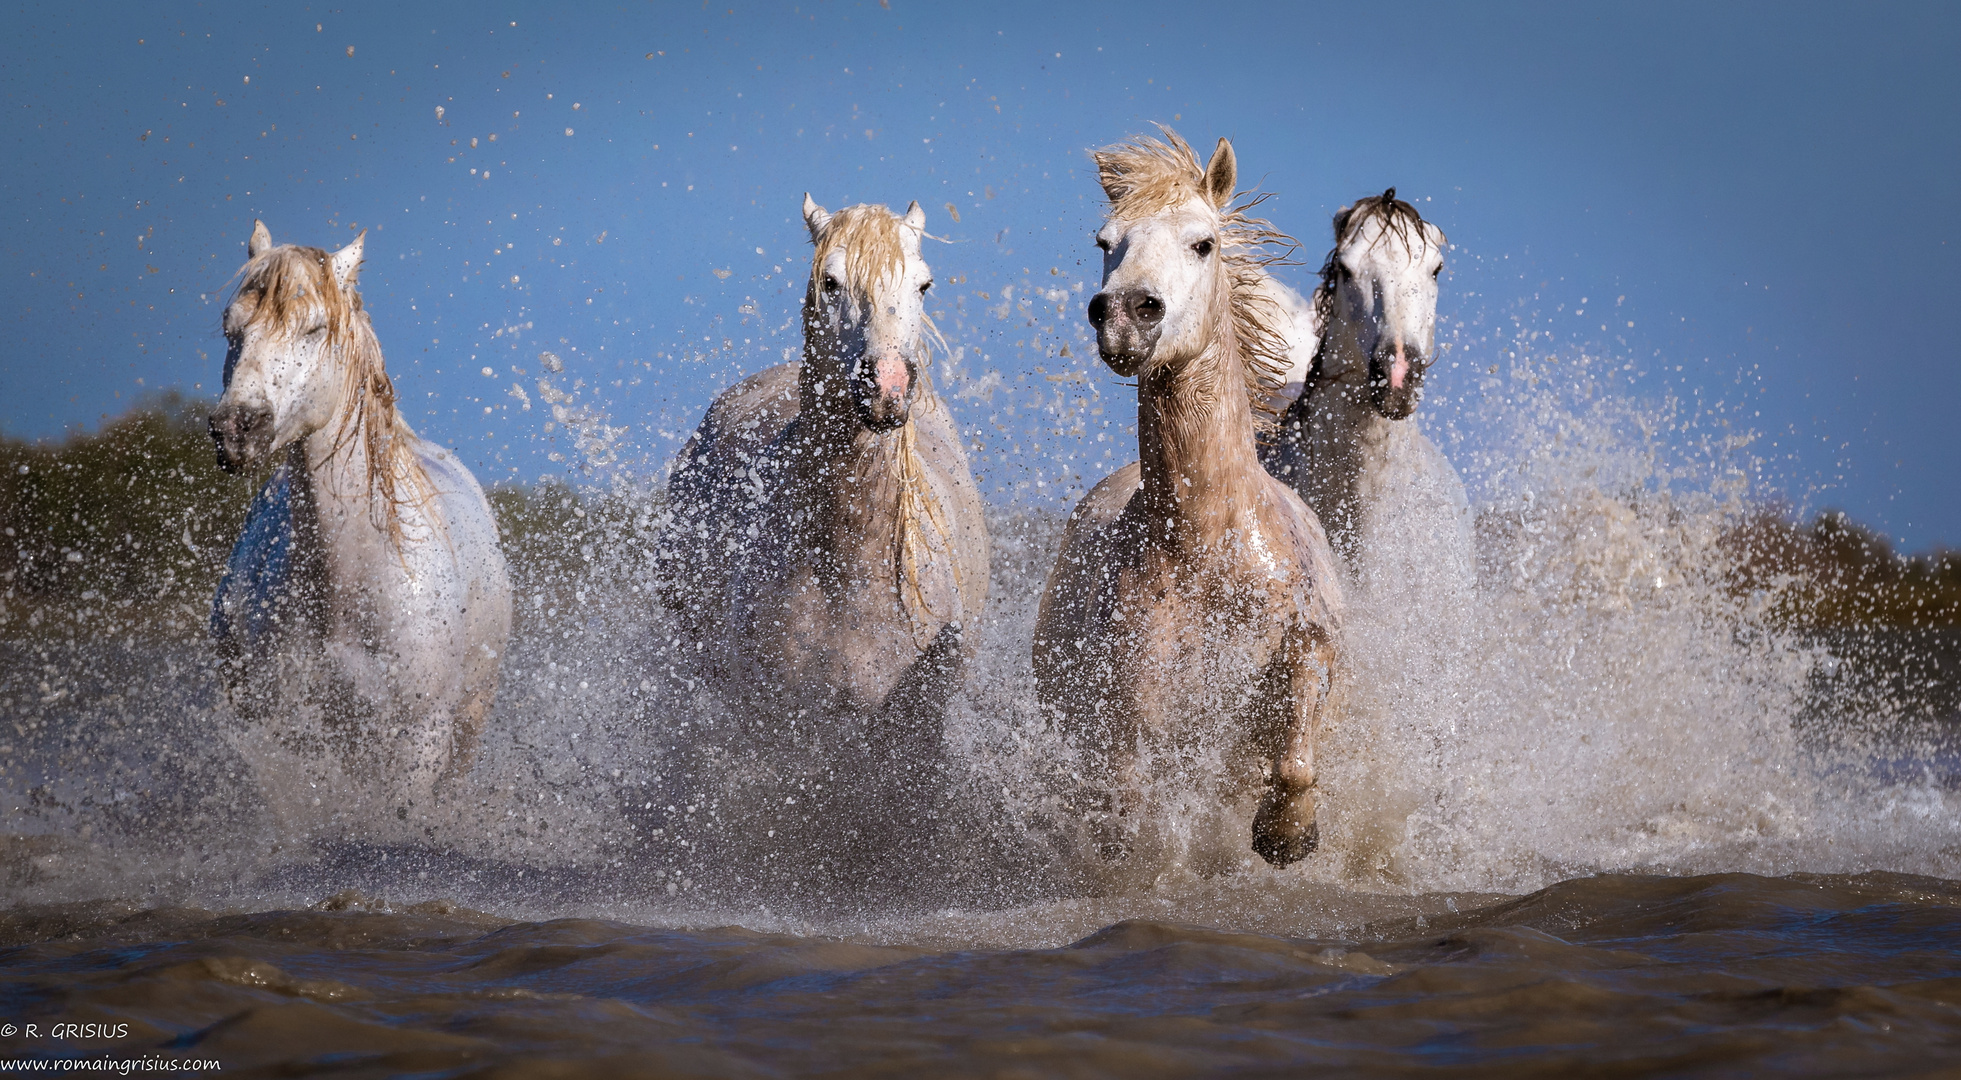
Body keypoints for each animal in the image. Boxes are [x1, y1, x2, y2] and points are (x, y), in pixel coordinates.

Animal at [208, 219, 513, 815]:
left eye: (314, 328)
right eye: (231, 329)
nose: (238, 428)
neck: (347, 583)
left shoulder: (420, 739)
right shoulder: (284, 735)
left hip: (468, 722)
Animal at [654, 194, 988, 858]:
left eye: (924, 283)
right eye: (831, 282)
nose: (888, 385)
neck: (851, 565)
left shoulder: (912, 730)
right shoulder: (784, 731)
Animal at [1035, 129, 1341, 870]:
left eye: (1203, 242)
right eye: (1105, 241)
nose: (1124, 314)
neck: (1206, 545)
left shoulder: (1305, 647)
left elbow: (1294, 750)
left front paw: (1286, 833)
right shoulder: (1131, 703)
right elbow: (1125, 798)